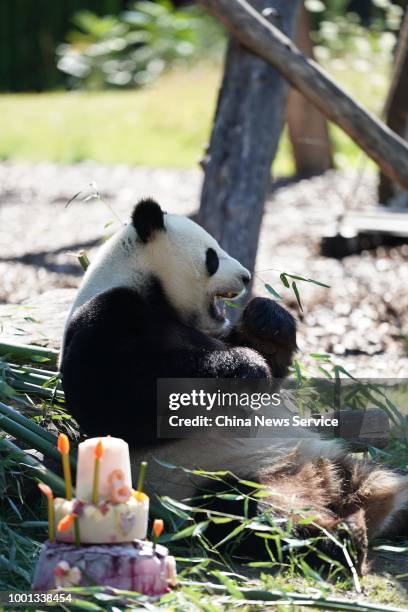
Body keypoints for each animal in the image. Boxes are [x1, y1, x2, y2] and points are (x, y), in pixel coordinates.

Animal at [60, 197, 408, 572]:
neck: (147, 288)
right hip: (215, 481)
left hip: (344, 462)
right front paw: (243, 366)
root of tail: (335, 491)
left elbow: (268, 364)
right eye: (212, 256)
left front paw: (266, 319)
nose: (246, 276)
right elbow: (119, 398)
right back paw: (341, 538)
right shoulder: (107, 317)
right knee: (262, 518)